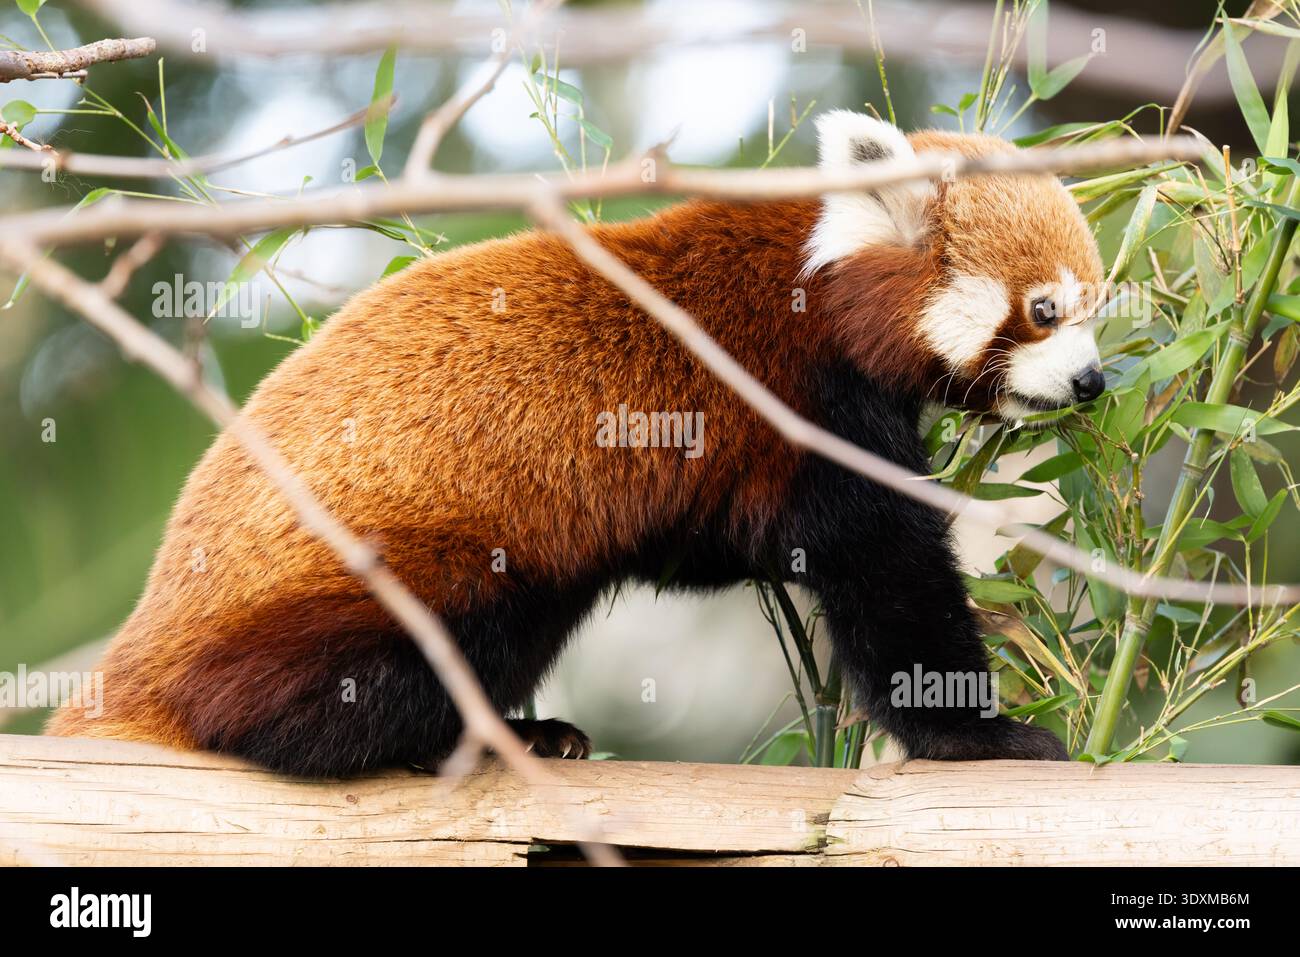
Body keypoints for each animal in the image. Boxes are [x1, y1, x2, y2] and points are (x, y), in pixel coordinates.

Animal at [48, 111, 1105, 775]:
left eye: (1096, 306)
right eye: (1044, 310)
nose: (1095, 382)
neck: (824, 286)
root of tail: (147, 633)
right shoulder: (798, 401)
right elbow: (885, 574)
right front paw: (982, 734)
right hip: (382, 570)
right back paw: (450, 740)